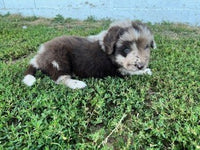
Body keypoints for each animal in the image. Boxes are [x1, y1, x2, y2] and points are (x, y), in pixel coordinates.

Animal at [22, 20, 156, 89]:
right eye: (126, 49)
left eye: (146, 47)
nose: (141, 65)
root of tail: (39, 57)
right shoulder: (119, 70)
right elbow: (130, 71)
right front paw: (145, 71)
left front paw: (144, 70)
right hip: (59, 60)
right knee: (60, 78)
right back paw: (78, 84)